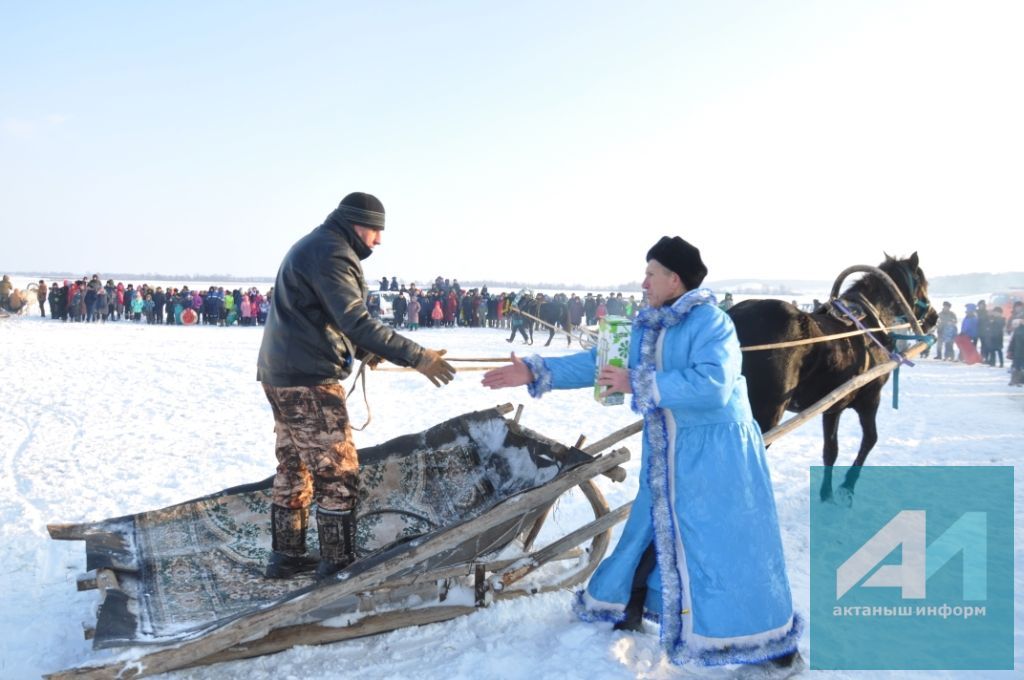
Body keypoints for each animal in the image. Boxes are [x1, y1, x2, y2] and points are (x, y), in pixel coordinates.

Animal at [729, 251, 937, 501]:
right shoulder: (870, 398)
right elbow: (870, 439)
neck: (870, 323)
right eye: (923, 284)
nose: (934, 317)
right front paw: (847, 486)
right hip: (768, 413)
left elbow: (831, 449)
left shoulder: (832, 407)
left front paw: (826, 492)